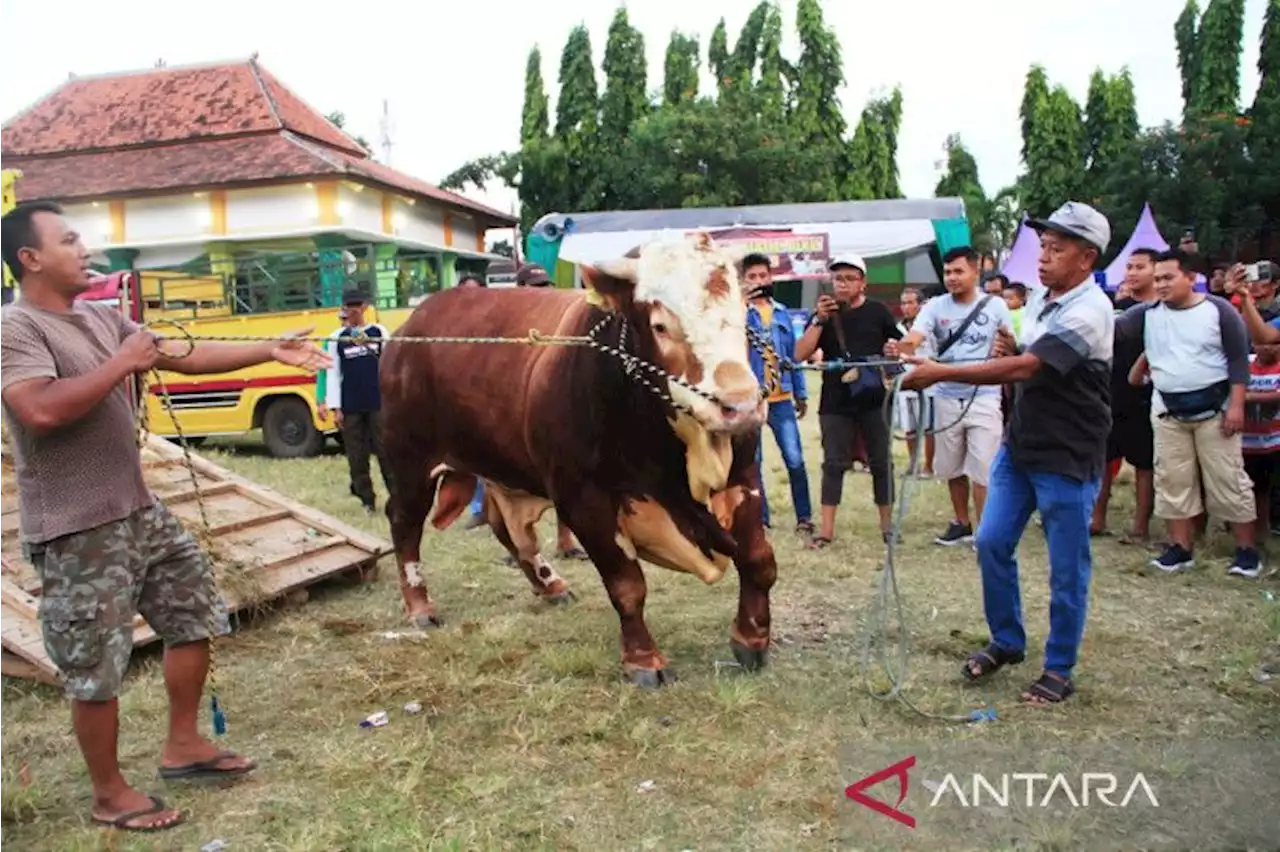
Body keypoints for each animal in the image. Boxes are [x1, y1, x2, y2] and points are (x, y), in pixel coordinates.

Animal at [376, 232, 778, 685]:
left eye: (741, 312)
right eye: (661, 325)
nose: (740, 405)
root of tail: (409, 329)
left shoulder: (742, 478)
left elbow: (759, 561)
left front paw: (751, 638)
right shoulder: (584, 500)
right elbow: (627, 586)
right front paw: (644, 661)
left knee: (506, 527)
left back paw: (549, 584)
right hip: (410, 462)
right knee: (404, 524)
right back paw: (420, 606)